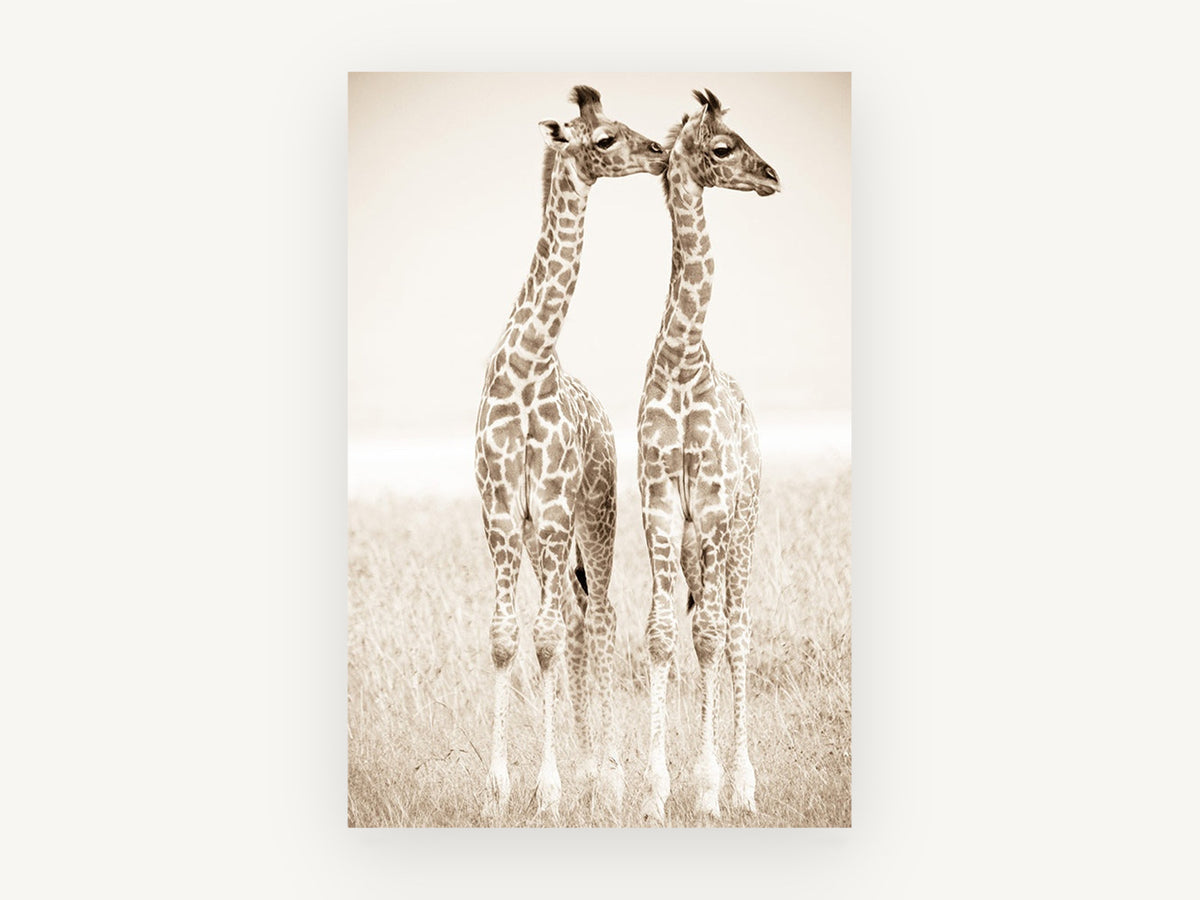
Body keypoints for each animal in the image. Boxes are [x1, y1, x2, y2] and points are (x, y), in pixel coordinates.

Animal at [475, 85, 666, 818]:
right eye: (604, 138)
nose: (660, 151)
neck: (529, 365)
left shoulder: (555, 508)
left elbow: (547, 639)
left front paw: (549, 789)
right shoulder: (503, 513)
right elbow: (508, 637)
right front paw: (497, 790)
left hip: (596, 515)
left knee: (601, 617)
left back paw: (605, 776)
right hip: (543, 540)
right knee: (582, 621)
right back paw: (589, 770)